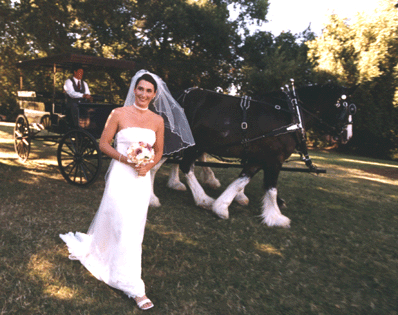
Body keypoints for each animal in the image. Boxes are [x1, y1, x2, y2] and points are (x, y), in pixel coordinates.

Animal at [151, 82, 356, 227]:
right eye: (345, 106)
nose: (347, 136)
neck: (291, 115)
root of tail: (176, 96)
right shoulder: (274, 159)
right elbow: (271, 188)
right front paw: (276, 217)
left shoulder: (259, 159)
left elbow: (243, 179)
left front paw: (222, 207)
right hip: (189, 145)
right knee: (183, 166)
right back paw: (199, 198)